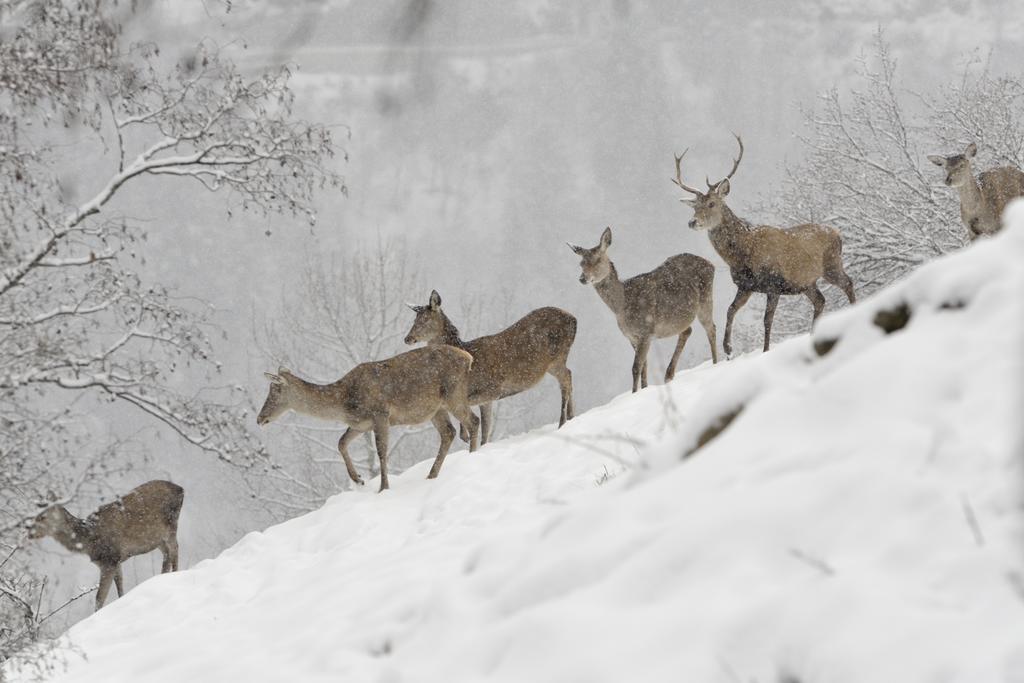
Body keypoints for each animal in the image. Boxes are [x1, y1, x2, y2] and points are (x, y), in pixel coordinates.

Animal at [28, 479, 184, 610]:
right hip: (157, 539)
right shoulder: (116, 560)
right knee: (167, 555)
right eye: (34, 515)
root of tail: (181, 489)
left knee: (175, 549)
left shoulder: (109, 559)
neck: (89, 541)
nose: (28, 530)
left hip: (170, 525)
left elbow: (99, 598)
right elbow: (120, 586)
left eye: (42, 517)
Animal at [256, 348, 479, 491]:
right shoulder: (361, 424)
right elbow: (341, 442)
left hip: (453, 394)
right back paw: (432, 474)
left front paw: (383, 487)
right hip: (435, 409)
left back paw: (473, 455)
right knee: (449, 432)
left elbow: (381, 451)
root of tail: (468, 358)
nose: (260, 418)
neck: (345, 401)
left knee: (473, 421)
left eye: (275, 390)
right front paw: (358, 479)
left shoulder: (380, 414)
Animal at [401, 290, 577, 444]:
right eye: (414, 320)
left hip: (557, 358)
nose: (407, 338)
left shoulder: (491, 388)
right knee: (569, 377)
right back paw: (571, 417)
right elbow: (486, 431)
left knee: (566, 379)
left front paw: (465, 435)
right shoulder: (487, 399)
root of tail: (574, 319)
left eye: (425, 319)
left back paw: (562, 421)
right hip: (556, 361)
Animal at [565, 227, 716, 393]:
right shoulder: (632, 337)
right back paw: (669, 375)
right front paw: (644, 389)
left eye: (598, 259)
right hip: (679, 319)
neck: (621, 306)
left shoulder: (645, 332)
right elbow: (644, 365)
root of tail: (711, 264)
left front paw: (634, 393)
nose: (582, 278)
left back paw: (717, 363)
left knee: (711, 329)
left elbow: (636, 367)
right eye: (581, 263)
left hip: (706, 300)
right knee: (687, 331)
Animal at [671, 135, 856, 356]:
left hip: (831, 265)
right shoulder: (746, 286)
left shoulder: (774, 283)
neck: (743, 255)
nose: (692, 222)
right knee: (820, 300)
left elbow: (767, 320)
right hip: (807, 282)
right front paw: (728, 348)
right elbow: (730, 310)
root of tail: (838, 234)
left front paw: (765, 350)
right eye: (695, 206)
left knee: (848, 283)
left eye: (711, 204)